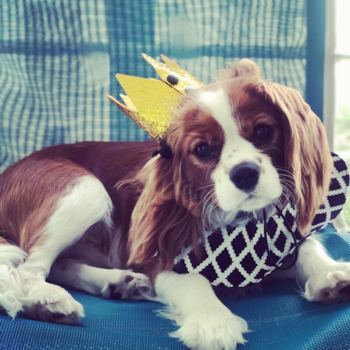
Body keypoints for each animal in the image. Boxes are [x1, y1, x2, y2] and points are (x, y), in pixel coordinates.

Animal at [0, 58, 350, 348]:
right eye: (203, 150)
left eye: (263, 132)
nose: (245, 173)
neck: (240, 226)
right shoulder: (160, 252)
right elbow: (192, 279)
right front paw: (213, 321)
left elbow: (305, 247)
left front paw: (330, 273)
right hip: (86, 190)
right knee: (29, 269)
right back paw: (45, 300)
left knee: (60, 265)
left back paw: (120, 283)